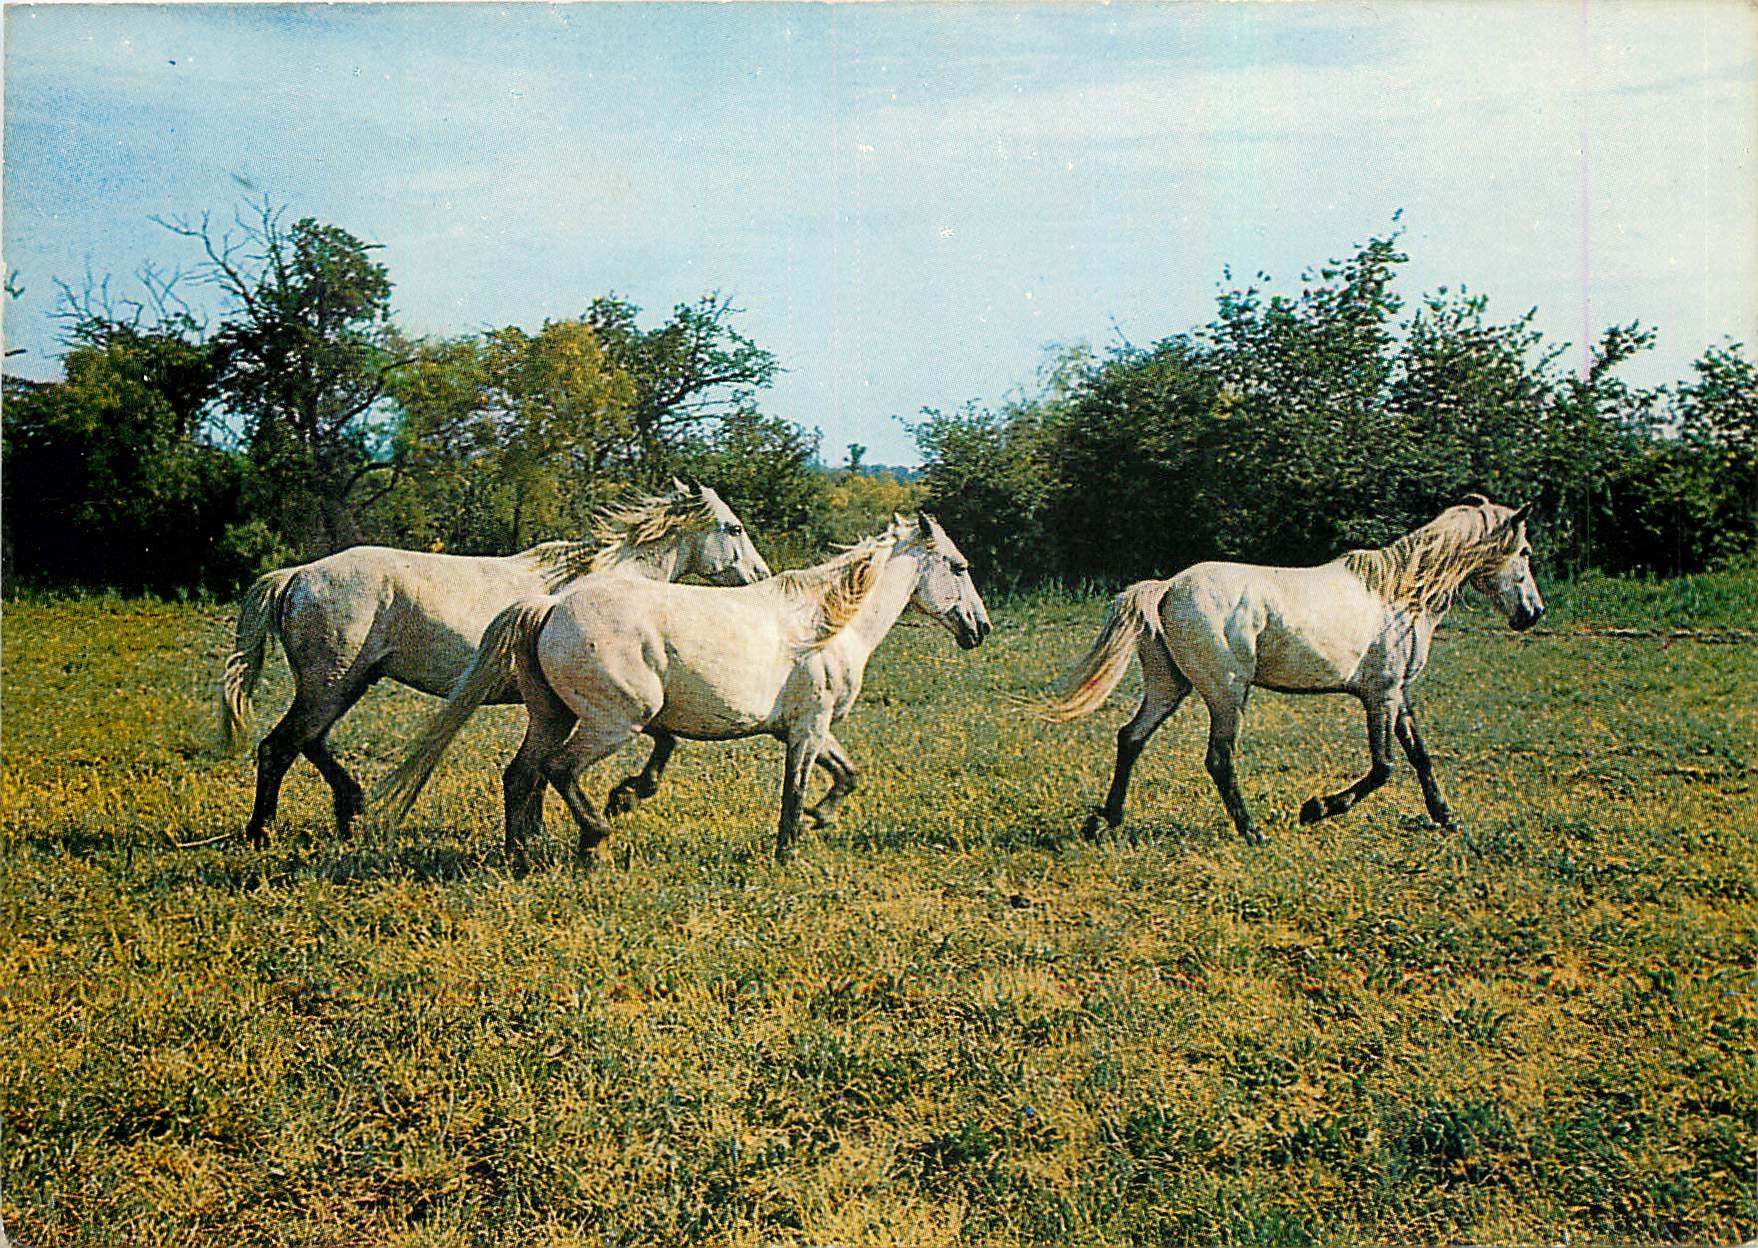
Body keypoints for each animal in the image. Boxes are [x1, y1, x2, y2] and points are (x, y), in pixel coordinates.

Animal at [219, 481, 770, 848]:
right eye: (734, 528)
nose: (760, 576)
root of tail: (298, 576)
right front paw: (619, 800)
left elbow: (536, 771)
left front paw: (538, 835)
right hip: (331, 683)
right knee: (279, 747)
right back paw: (262, 833)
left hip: (346, 683)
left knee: (309, 743)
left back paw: (351, 813)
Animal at [376, 513, 991, 867]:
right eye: (959, 567)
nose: (979, 628)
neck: (827, 624)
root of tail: (550, 605)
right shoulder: (807, 731)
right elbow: (793, 793)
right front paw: (788, 853)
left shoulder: (806, 730)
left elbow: (847, 775)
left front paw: (822, 819)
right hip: (615, 721)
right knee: (558, 770)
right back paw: (594, 839)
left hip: (553, 716)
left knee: (521, 775)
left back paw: (524, 855)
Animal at [1035, 496, 1544, 844]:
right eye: (1523, 552)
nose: (1532, 613)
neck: (1399, 594)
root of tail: (1165, 588)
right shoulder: (1379, 693)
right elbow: (1384, 767)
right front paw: (1317, 808)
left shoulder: (1397, 693)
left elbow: (1420, 756)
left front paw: (1447, 817)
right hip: (1226, 693)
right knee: (1218, 758)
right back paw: (1251, 831)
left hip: (1169, 686)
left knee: (1131, 738)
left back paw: (1105, 823)